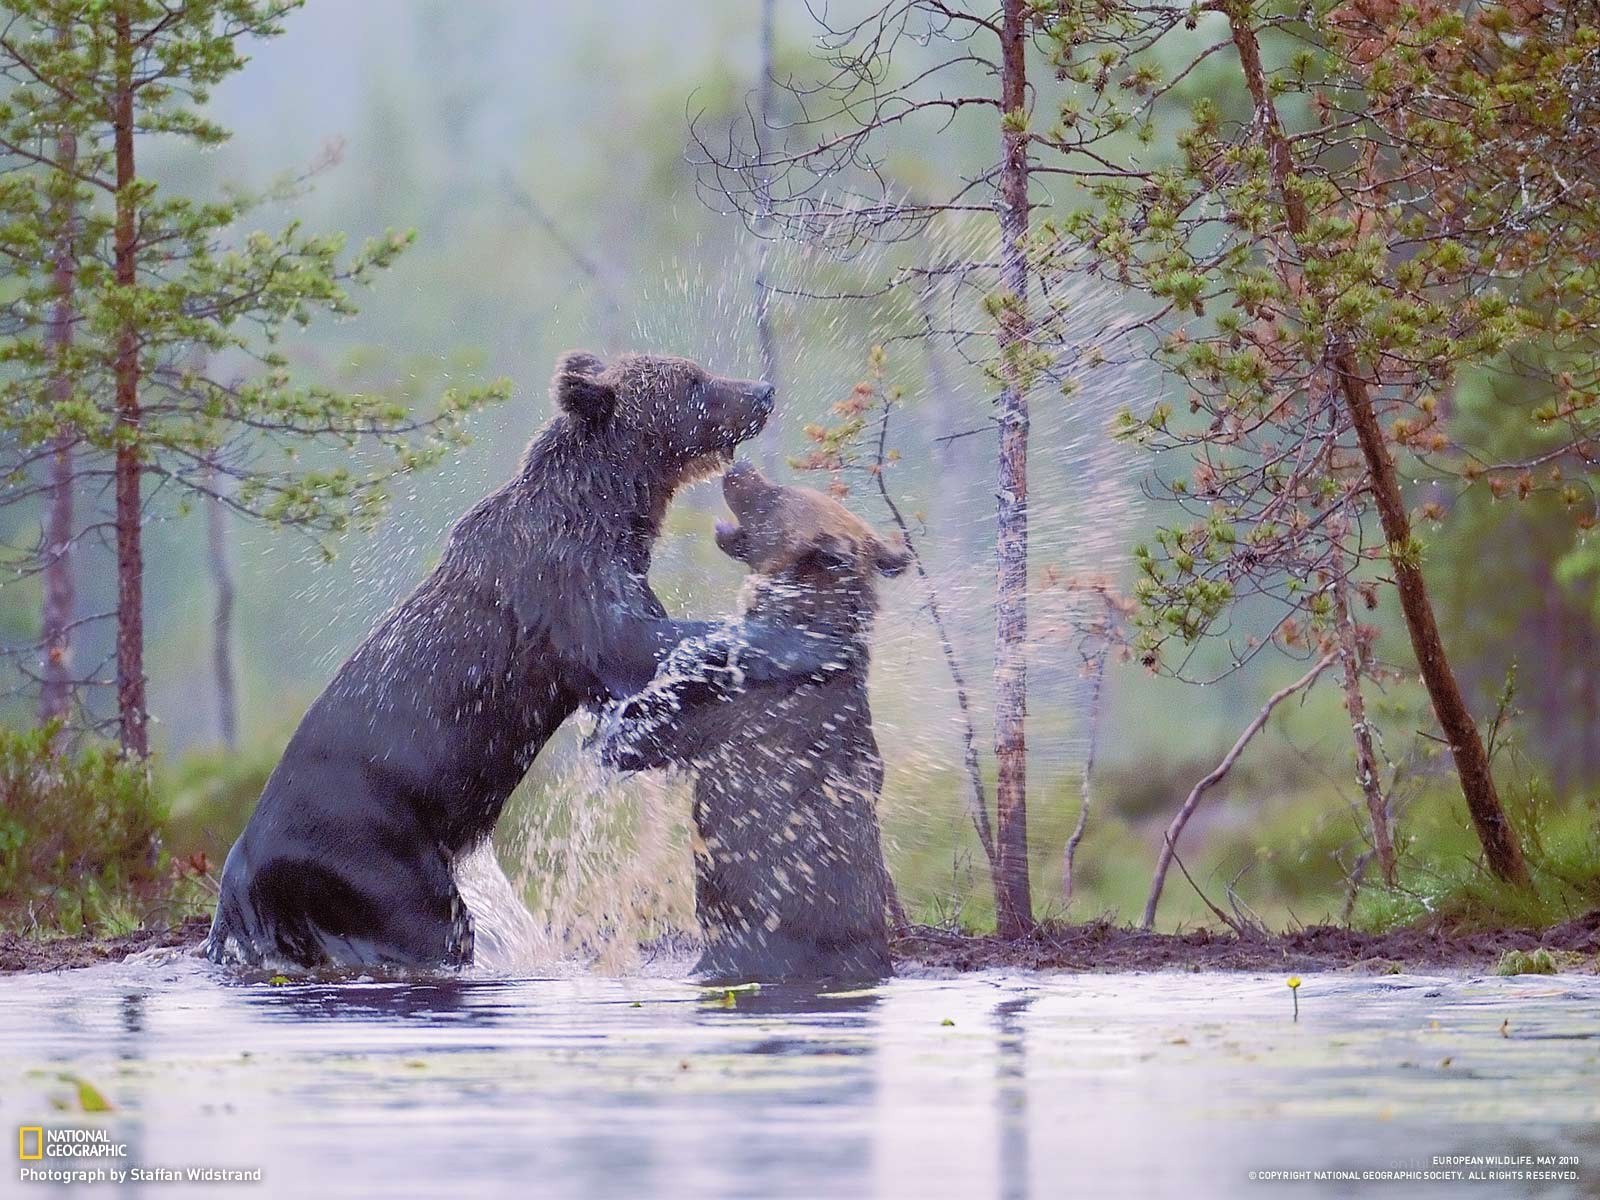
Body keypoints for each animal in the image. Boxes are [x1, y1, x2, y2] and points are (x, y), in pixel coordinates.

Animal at [205, 352, 851, 969]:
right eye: (692, 381)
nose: (762, 392)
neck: (607, 512)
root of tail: (241, 865)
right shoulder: (568, 591)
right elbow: (642, 649)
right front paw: (805, 642)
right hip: (371, 852)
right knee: (429, 925)